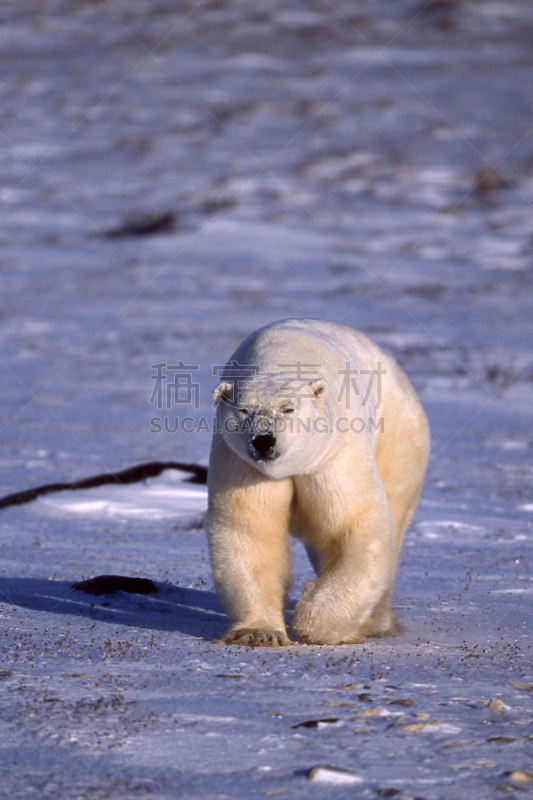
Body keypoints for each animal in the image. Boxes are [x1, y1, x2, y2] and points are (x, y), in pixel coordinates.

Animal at [206, 318, 430, 644]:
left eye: (288, 408)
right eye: (244, 410)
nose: (264, 441)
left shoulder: (332, 455)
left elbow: (351, 524)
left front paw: (312, 620)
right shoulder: (241, 464)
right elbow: (250, 530)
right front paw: (258, 633)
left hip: (399, 436)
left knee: (395, 515)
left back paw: (374, 621)